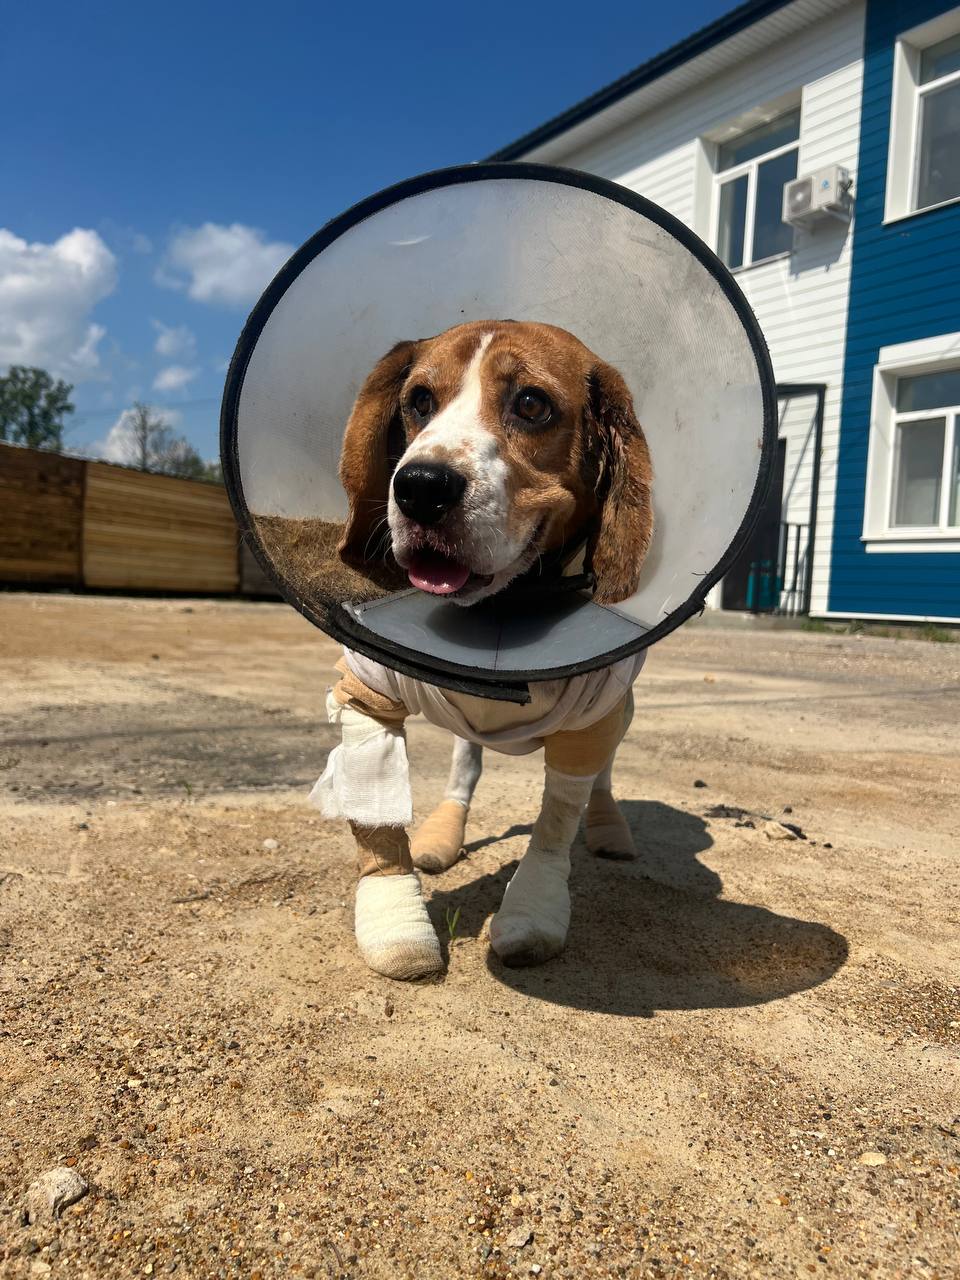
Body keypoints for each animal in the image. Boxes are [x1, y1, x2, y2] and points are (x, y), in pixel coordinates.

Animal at [314, 320, 653, 980]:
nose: (420, 487)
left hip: (620, 711)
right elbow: (376, 822)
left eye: (532, 404)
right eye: (419, 400)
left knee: (602, 777)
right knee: (465, 764)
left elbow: (556, 819)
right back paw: (442, 835)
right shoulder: (367, 692)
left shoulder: (593, 717)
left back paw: (610, 829)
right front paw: (397, 926)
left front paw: (531, 913)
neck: (504, 610)